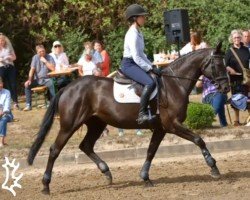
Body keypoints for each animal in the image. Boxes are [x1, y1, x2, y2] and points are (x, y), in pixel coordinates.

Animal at [26, 41, 229, 194]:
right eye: (218, 65)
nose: (226, 88)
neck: (174, 84)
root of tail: (67, 88)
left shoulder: (161, 128)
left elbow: (151, 151)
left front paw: (145, 178)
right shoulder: (173, 124)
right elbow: (199, 139)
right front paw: (214, 168)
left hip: (97, 124)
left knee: (86, 145)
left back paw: (107, 173)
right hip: (70, 125)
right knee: (55, 150)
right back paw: (45, 185)